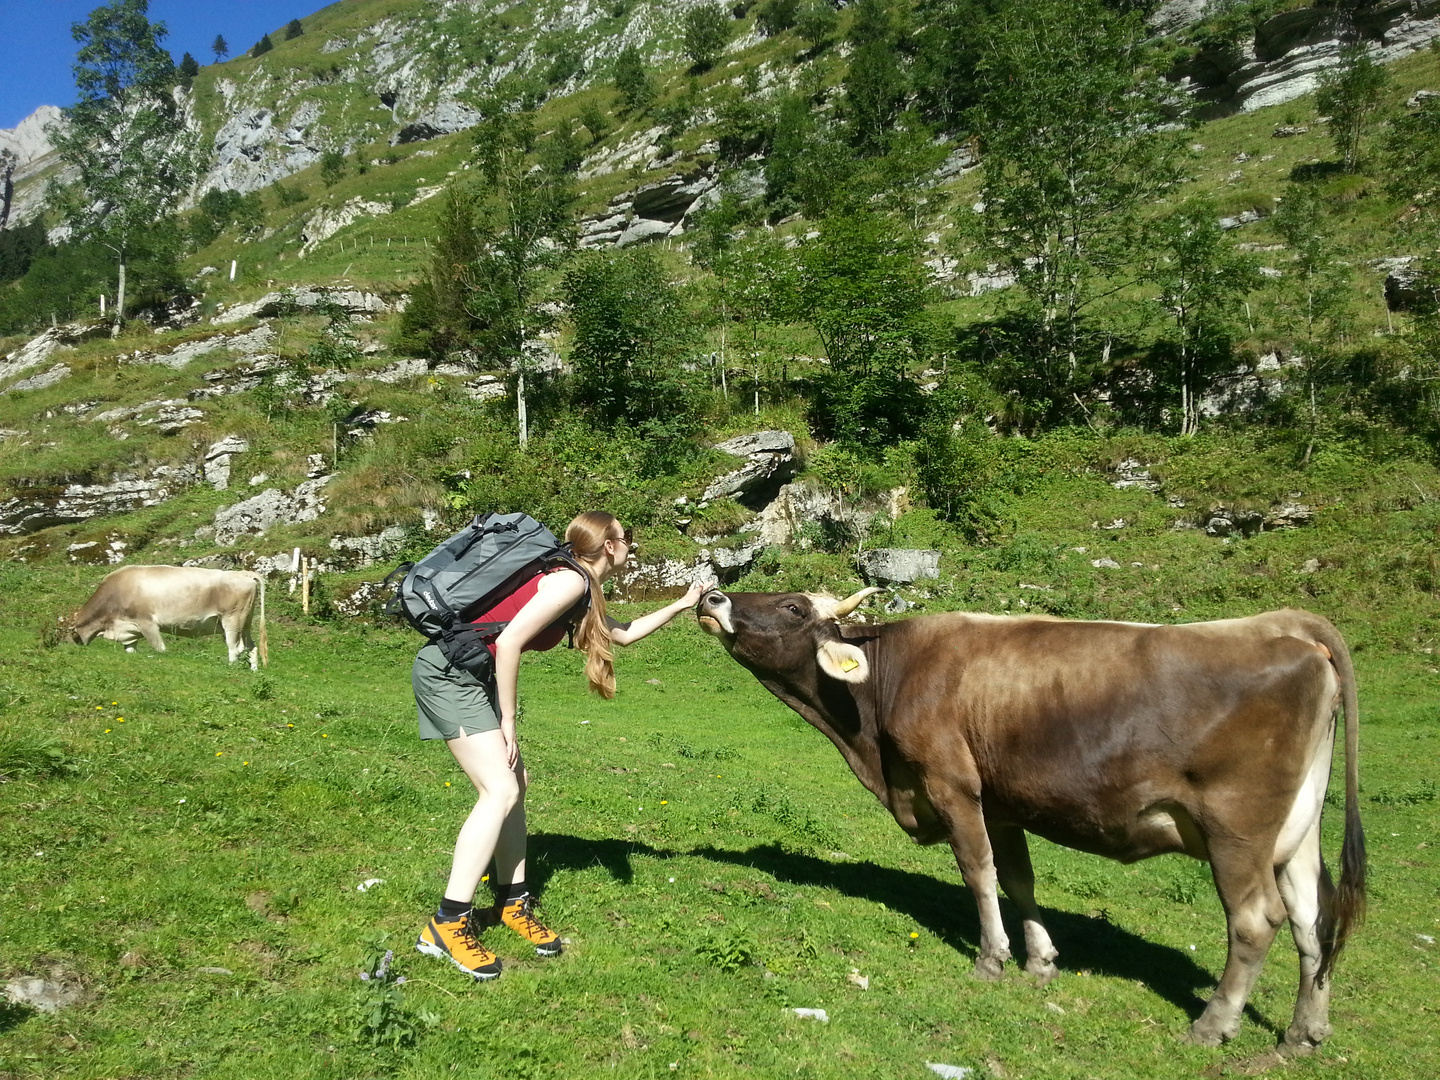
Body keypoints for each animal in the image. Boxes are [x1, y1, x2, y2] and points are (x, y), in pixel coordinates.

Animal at [70, 567, 269, 668]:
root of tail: (242, 573)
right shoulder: (129, 631)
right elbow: (130, 650)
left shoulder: (147, 623)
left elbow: (159, 649)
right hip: (245, 622)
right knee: (251, 647)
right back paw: (253, 672)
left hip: (232, 619)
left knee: (235, 647)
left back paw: (231, 668)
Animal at [702, 593, 1365, 1059]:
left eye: (792, 606)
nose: (712, 596)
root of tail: (1294, 636)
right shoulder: (1003, 802)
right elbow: (1018, 878)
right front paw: (1040, 961)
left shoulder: (953, 785)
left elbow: (978, 872)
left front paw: (992, 958)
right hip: (1297, 833)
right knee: (1312, 919)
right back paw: (1304, 1032)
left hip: (1236, 830)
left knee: (1256, 922)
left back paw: (1212, 1024)